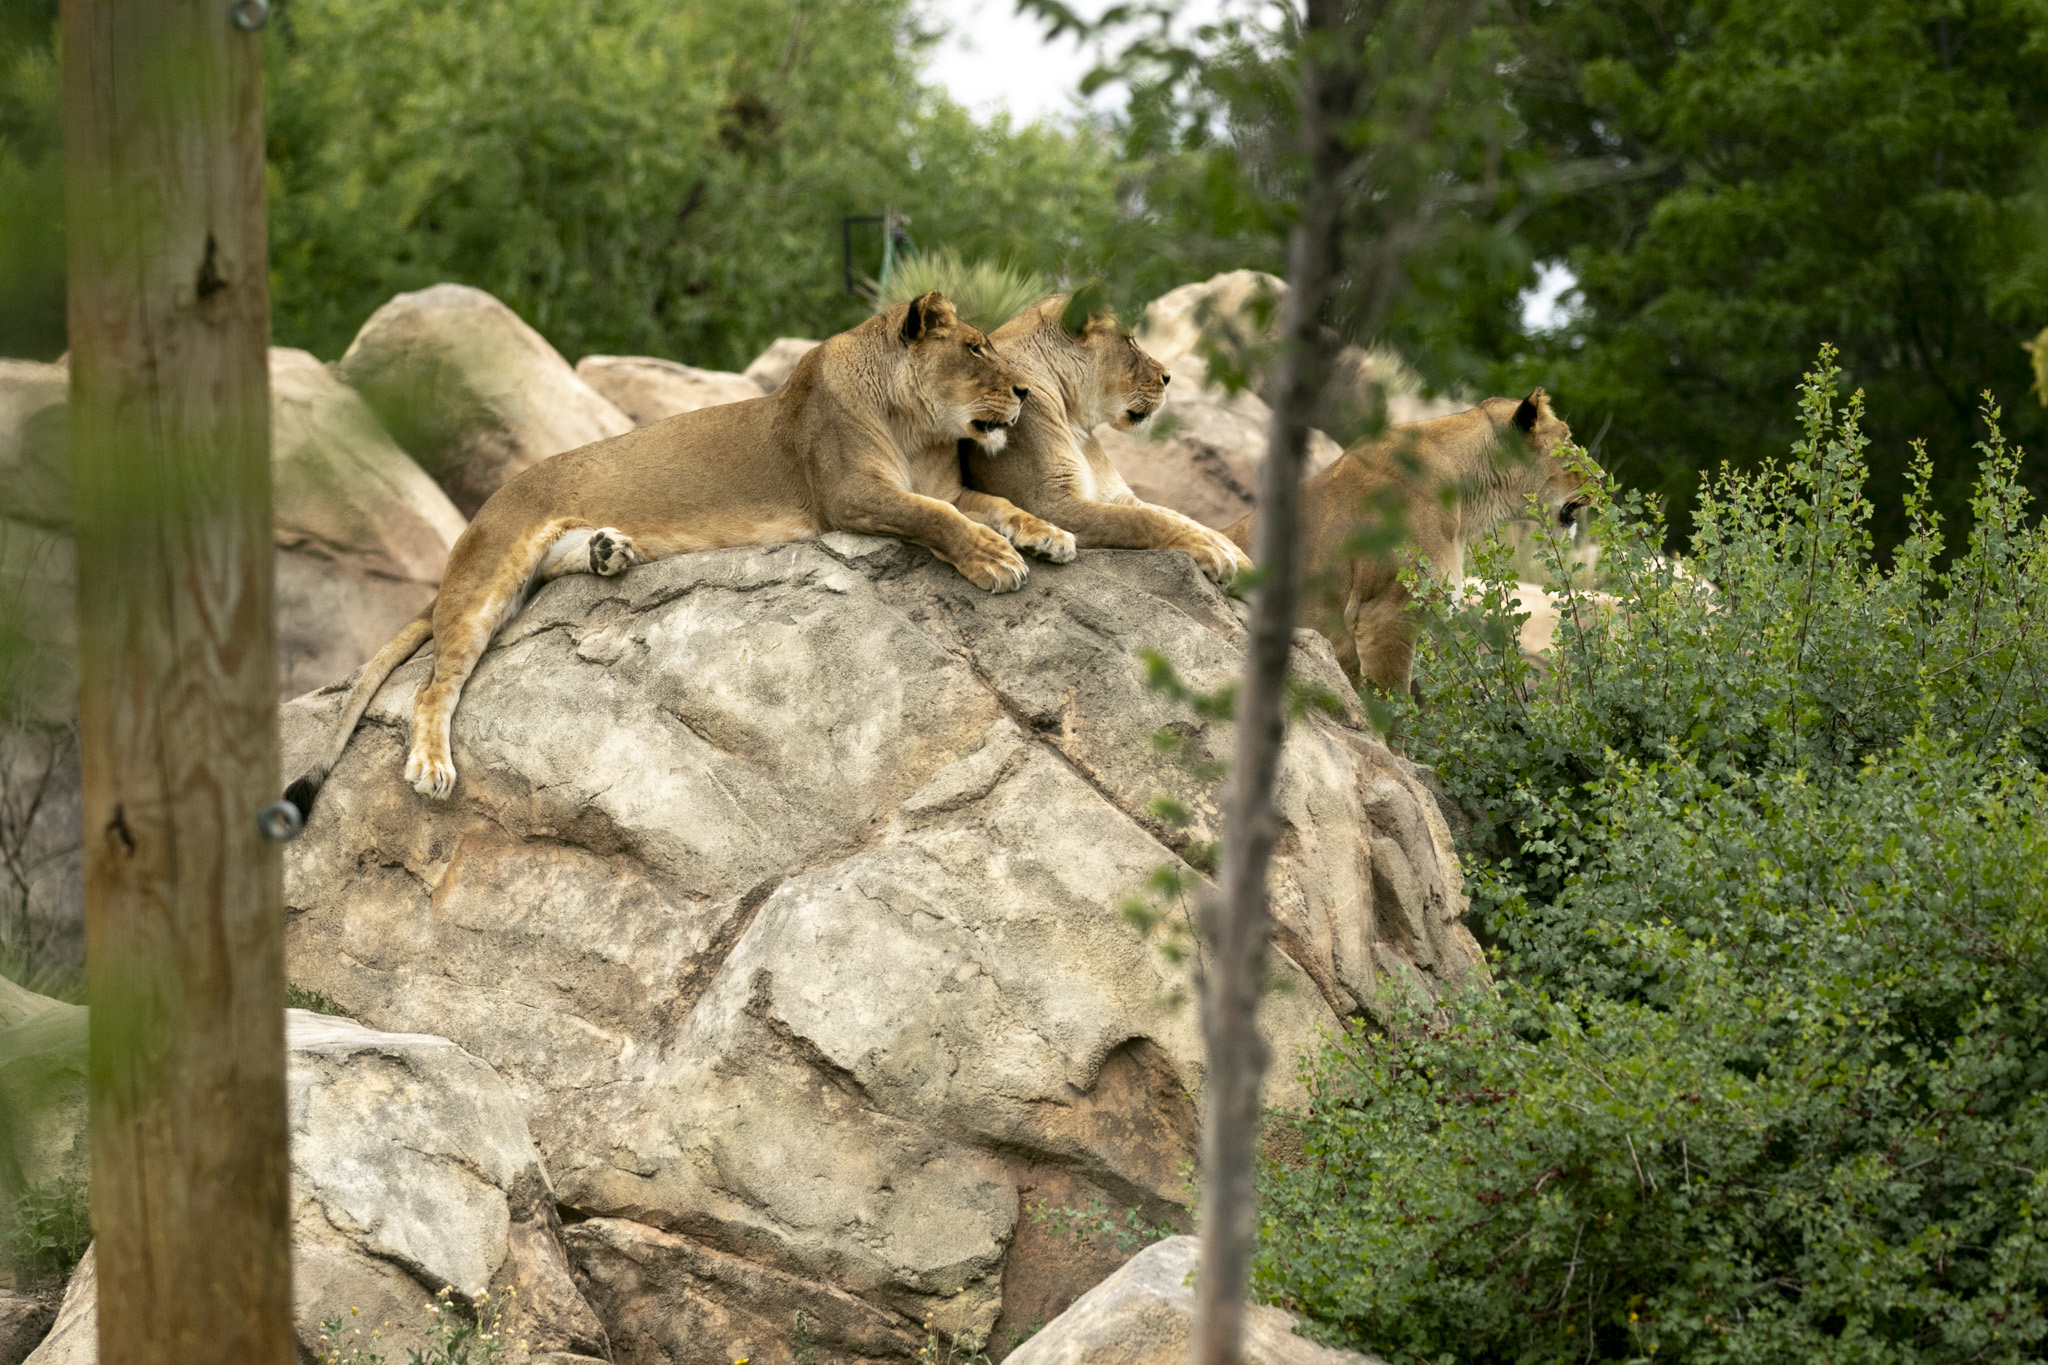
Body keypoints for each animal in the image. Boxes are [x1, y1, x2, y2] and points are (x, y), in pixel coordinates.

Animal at [286, 291, 1074, 815]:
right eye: (975, 348)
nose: (1025, 392)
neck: (919, 428)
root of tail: (475, 522)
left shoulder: (943, 486)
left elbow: (992, 507)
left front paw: (1047, 533)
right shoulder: (849, 495)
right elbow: (934, 517)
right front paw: (997, 561)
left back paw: (609, 550)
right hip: (488, 582)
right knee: (433, 684)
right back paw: (430, 765)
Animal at [959, 294, 1253, 582]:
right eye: (1128, 341)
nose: (1168, 377)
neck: (1074, 422)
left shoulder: (1117, 495)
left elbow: (1182, 518)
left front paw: (1235, 555)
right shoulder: (1044, 502)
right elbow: (1141, 520)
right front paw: (1210, 549)